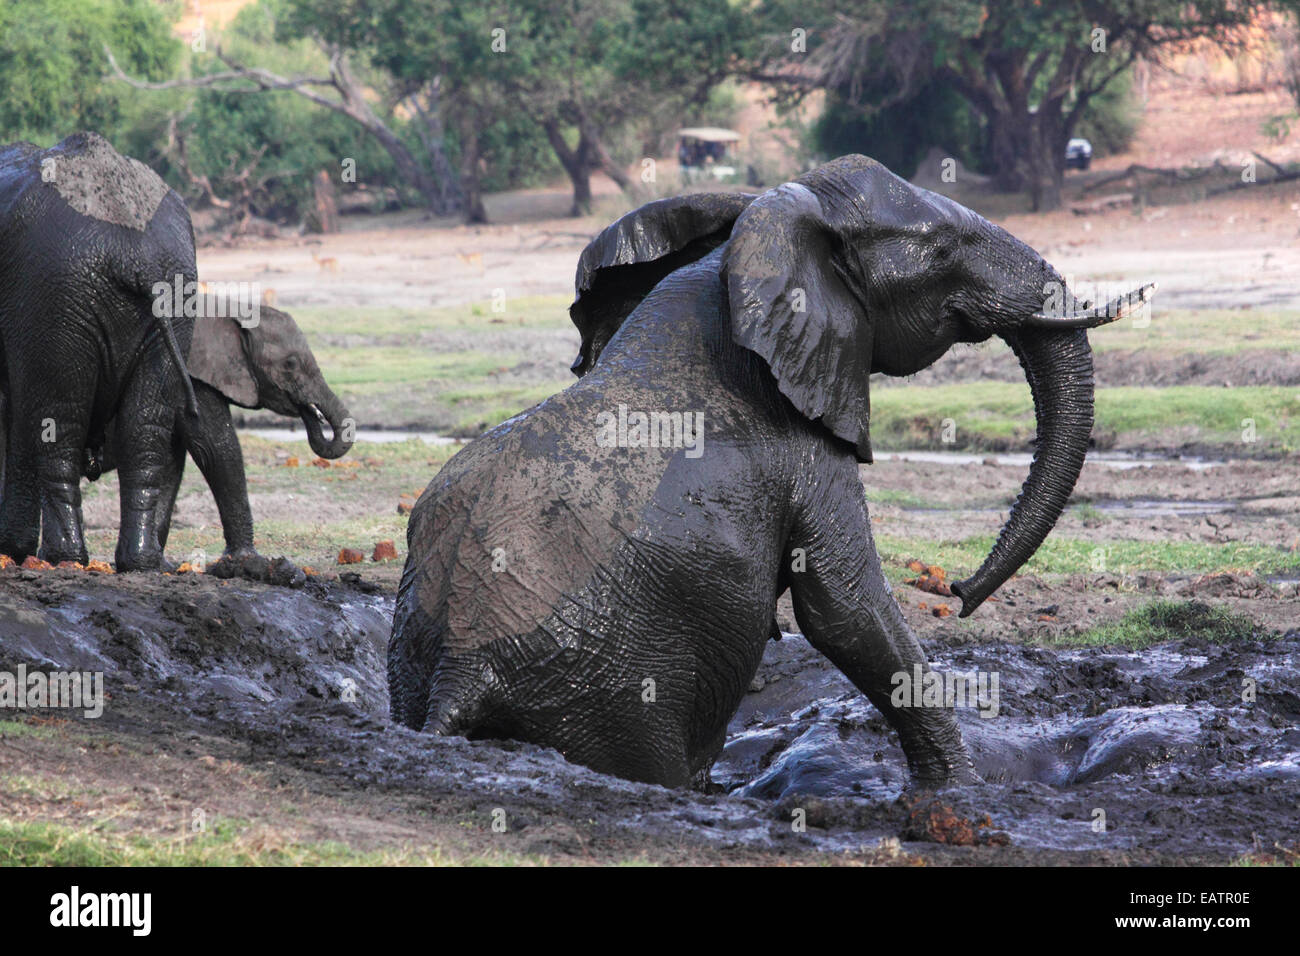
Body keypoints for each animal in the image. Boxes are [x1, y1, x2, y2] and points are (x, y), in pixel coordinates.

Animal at [0, 132, 198, 570]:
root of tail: (137, 251)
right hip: (175, 294)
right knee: (145, 428)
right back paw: (140, 562)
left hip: (58, 293)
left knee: (57, 420)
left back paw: (63, 557)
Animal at [388, 155, 1153, 789]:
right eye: (942, 249)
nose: (959, 592)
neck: (745, 251)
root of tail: (461, 670)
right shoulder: (801, 449)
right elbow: (845, 611)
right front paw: (962, 792)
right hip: (608, 686)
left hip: (419, 647)